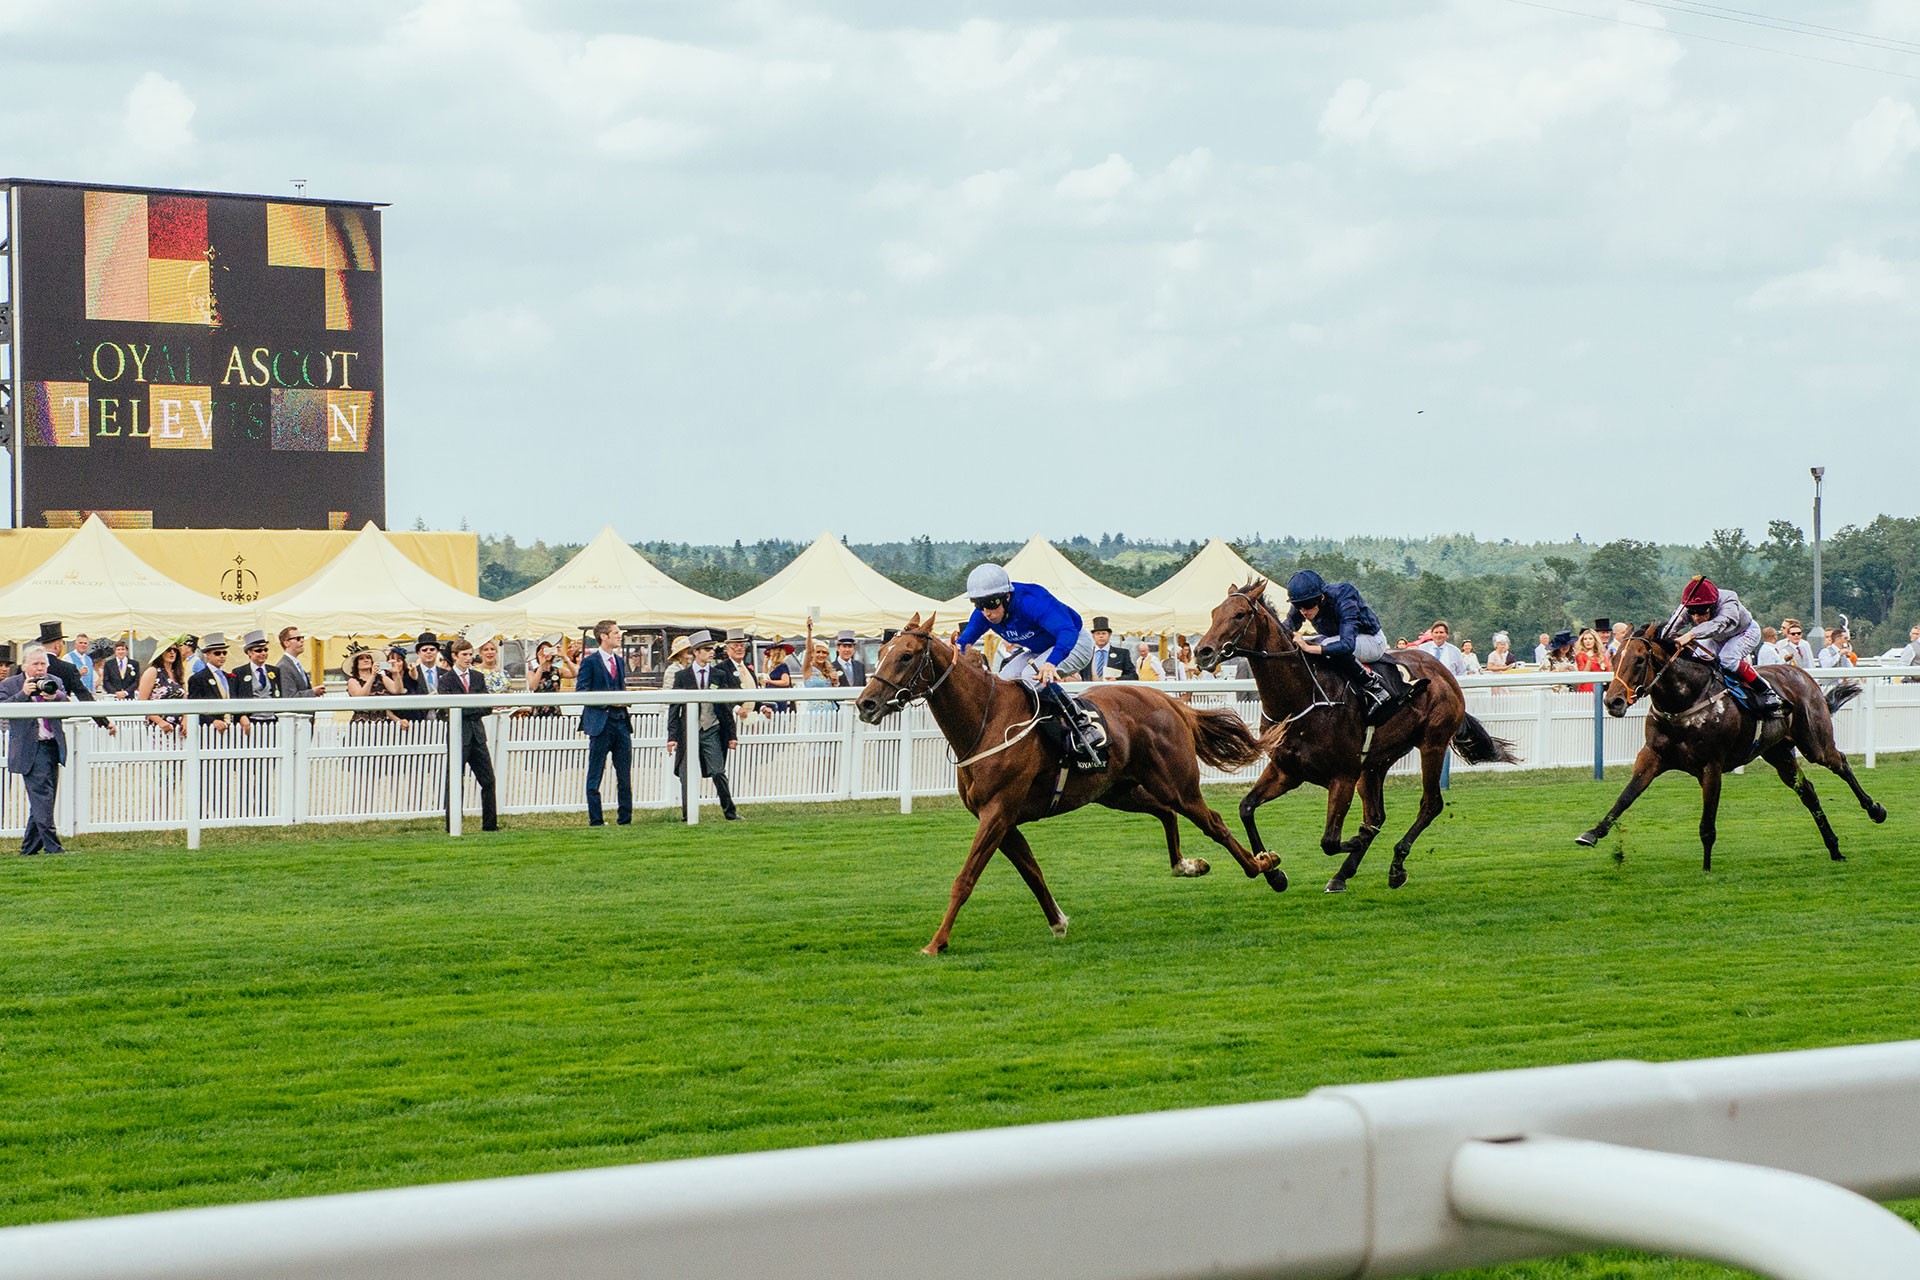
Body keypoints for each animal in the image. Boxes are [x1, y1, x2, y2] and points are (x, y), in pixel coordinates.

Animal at [860, 614, 1282, 955]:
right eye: (882, 651)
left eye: (905, 656)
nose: (866, 703)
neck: (986, 721)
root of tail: (1170, 702)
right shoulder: (1002, 819)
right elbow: (1032, 872)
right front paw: (1058, 922)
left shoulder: (997, 812)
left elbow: (965, 879)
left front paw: (936, 943)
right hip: (1118, 791)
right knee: (1165, 813)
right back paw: (1187, 865)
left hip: (1177, 784)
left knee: (1213, 822)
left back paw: (1267, 868)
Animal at [1190, 579, 1520, 890]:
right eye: (1214, 613)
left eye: (1240, 614)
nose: (1203, 652)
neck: (1303, 698)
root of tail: (1444, 672)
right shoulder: (1287, 771)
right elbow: (1246, 808)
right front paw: (1274, 873)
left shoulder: (1343, 776)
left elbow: (1330, 841)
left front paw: (1356, 839)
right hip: (1376, 762)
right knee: (1376, 816)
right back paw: (1342, 874)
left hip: (1432, 744)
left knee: (1430, 804)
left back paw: (1395, 866)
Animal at [1574, 621, 1889, 871]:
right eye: (1614, 658)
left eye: (1639, 660)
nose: (1613, 701)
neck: (1684, 702)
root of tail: (1801, 673)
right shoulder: (1652, 757)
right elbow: (1625, 798)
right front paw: (1591, 833)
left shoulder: (1711, 766)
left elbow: (1707, 825)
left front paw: (1706, 868)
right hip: (1778, 752)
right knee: (1807, 791)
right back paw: (1834, 848)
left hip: (1815, 742)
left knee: (1841, 763)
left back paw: (1875, 809)